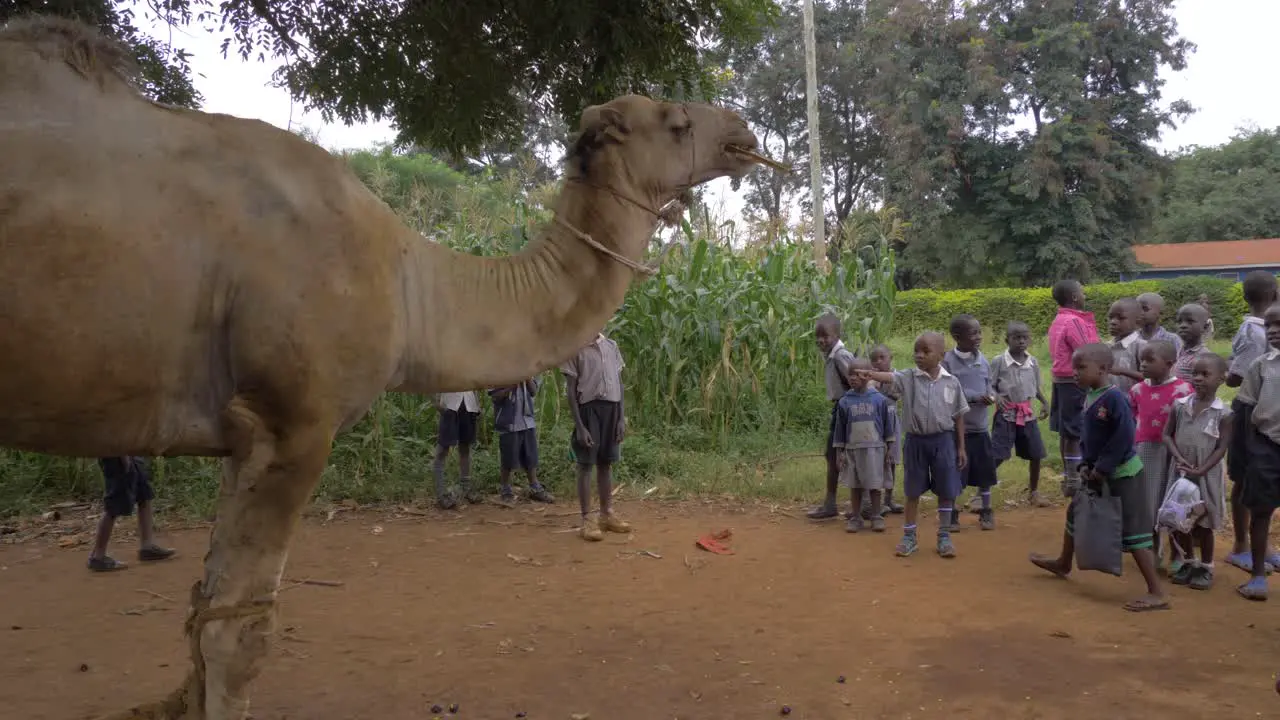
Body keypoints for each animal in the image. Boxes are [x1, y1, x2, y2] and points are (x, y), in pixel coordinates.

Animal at [0, 16, 757, 717]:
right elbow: (236, 636)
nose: (742, 130)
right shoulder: (290, 423)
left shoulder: (241, 433)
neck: (407, 276)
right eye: (674, 120)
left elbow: (205, 614)